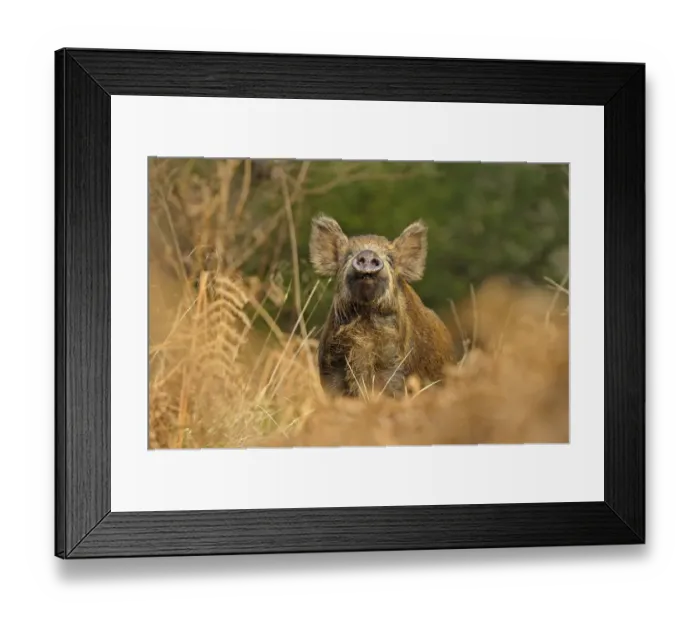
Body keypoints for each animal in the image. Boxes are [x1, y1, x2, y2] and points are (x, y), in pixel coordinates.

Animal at [308, 214, 456, 399]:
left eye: (390, 259)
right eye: (348, 256)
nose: (367, 254)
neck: (365, 323)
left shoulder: (395, 368)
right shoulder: (332, 367)